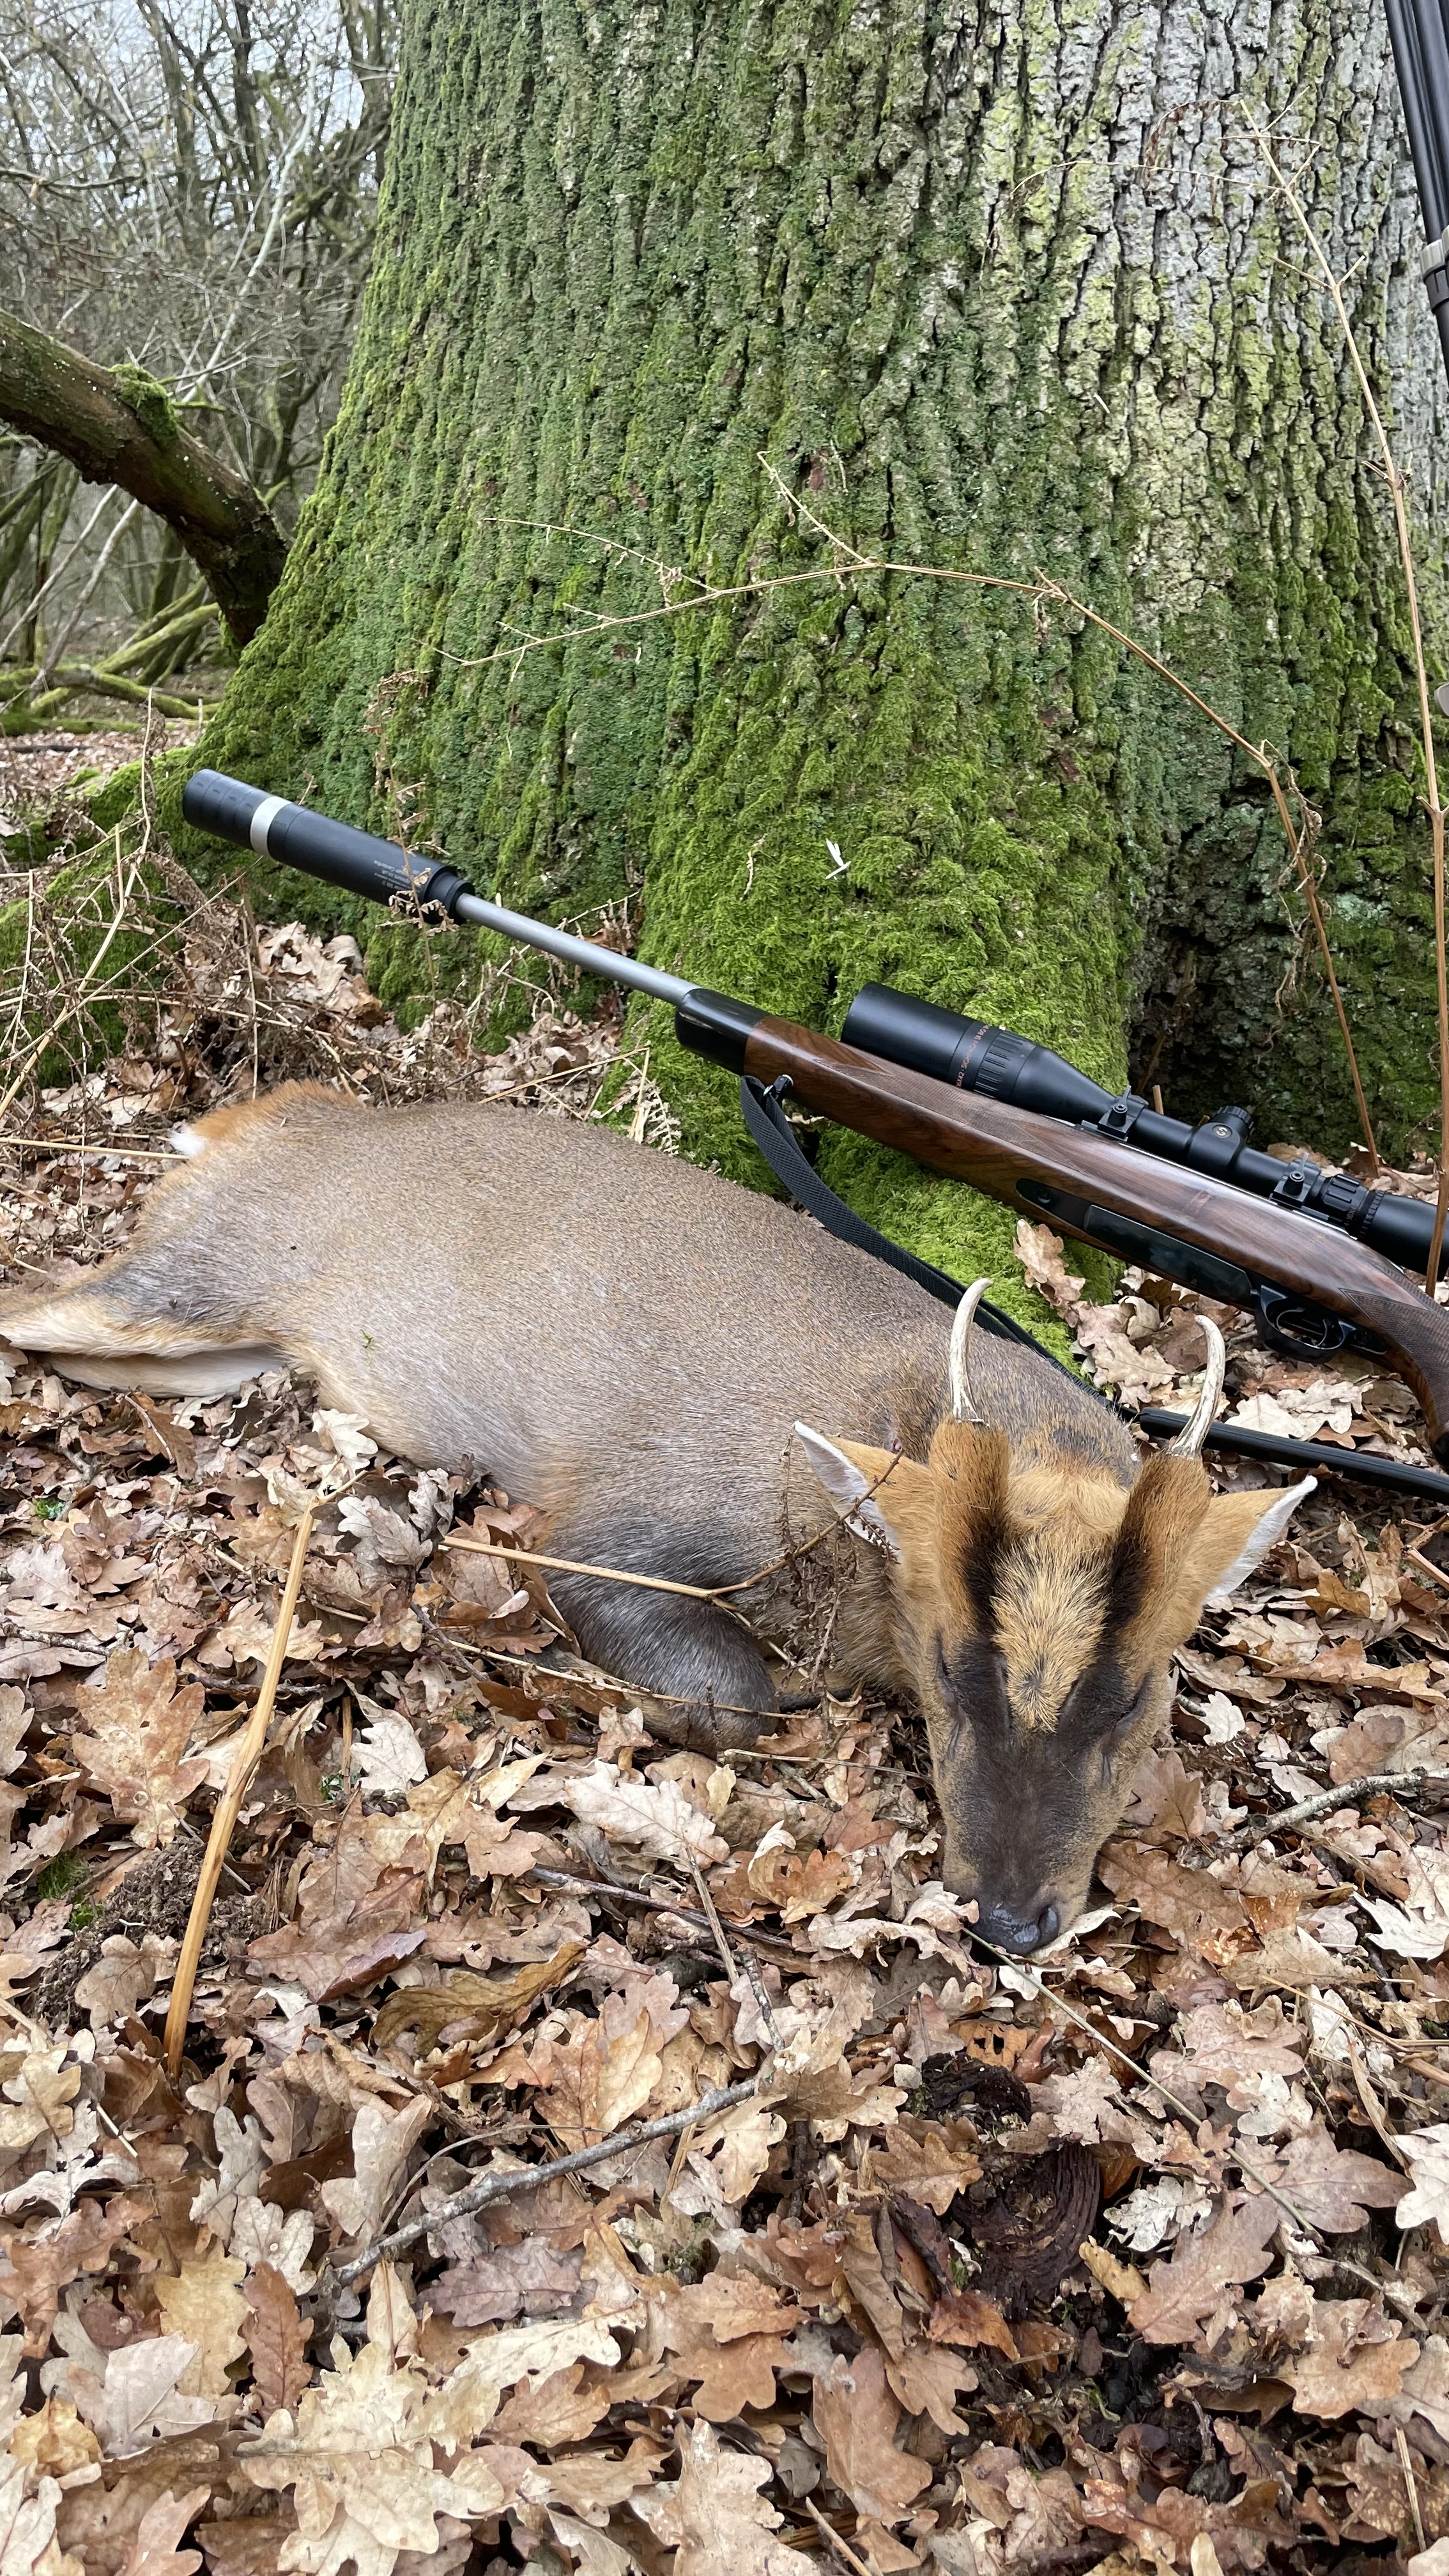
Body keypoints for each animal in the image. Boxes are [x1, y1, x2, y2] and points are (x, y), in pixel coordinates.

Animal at [0, 1082, 1310, 1947]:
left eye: (1136, 1694)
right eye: (952, 1666)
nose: (1009, 1920)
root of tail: (255, 1118)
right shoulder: (619, 1519)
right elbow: (737, 1692)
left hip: (233, 1342)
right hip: (199, 1273)